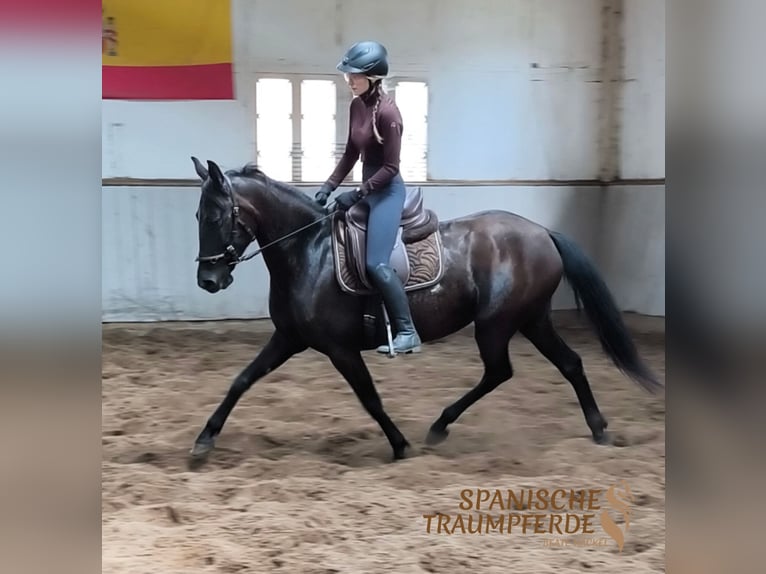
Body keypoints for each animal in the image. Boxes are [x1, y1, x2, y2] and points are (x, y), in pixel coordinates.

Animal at [189, 157, 662, 462]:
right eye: (198, 215)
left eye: (215, 216)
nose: (208, 281)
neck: (307, 249)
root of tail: (542, 232)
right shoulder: (288, 338)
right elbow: (241, 381)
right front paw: (204, 440)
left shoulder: (340, 349)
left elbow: (370, 398)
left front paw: (400, 446)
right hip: (532, 319)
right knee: (569, 363)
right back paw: (598, 428)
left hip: (497, 323)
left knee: (500, 371)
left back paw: (440, 426)